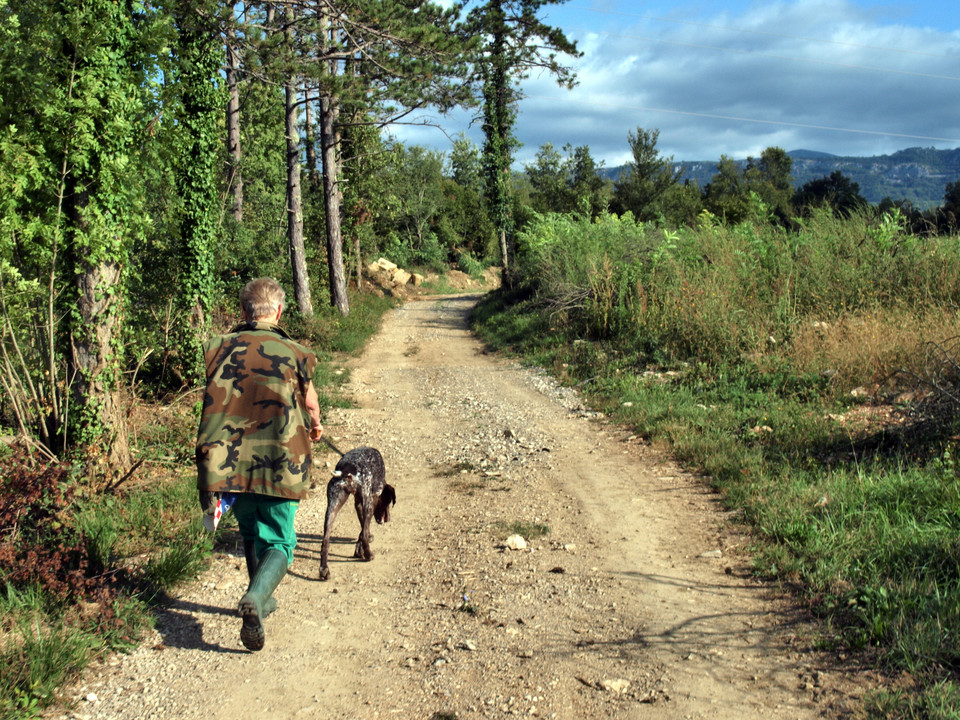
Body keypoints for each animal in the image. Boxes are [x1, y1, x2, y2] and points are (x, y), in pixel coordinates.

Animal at [318, 448, 394, 584]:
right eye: (388, 502)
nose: (388, 519)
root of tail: (346, 471)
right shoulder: (370, 499)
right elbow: (364, 530)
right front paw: (362, 547)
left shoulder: (358, 502)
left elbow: (363, 525)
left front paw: (359, 548)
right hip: (366, 502)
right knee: (363, 534)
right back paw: (369, 555)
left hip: (332, 507)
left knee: (325, 542)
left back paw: (324, 570)